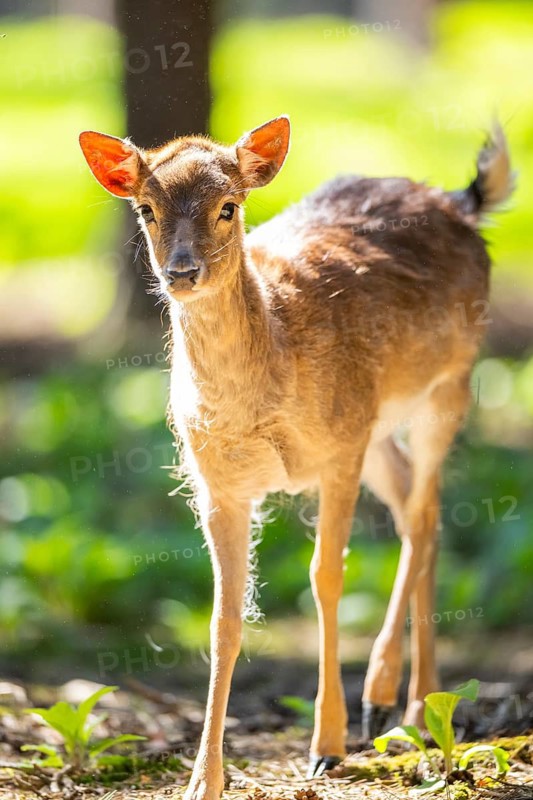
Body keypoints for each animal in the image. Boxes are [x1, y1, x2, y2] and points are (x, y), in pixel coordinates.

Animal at [79, 116, 513, 800]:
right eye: (145, 208)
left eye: (228, 207)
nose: (181, 271)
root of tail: (458, 201)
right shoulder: (218, 484)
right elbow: (223, 619)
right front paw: (203, 780)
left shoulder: (338, 452)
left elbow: (325, 578)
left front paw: (326, 747)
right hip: (376, 426)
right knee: (423, 509)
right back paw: (421, 709)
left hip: (444, 385)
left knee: (422, 515)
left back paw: (388, 700)